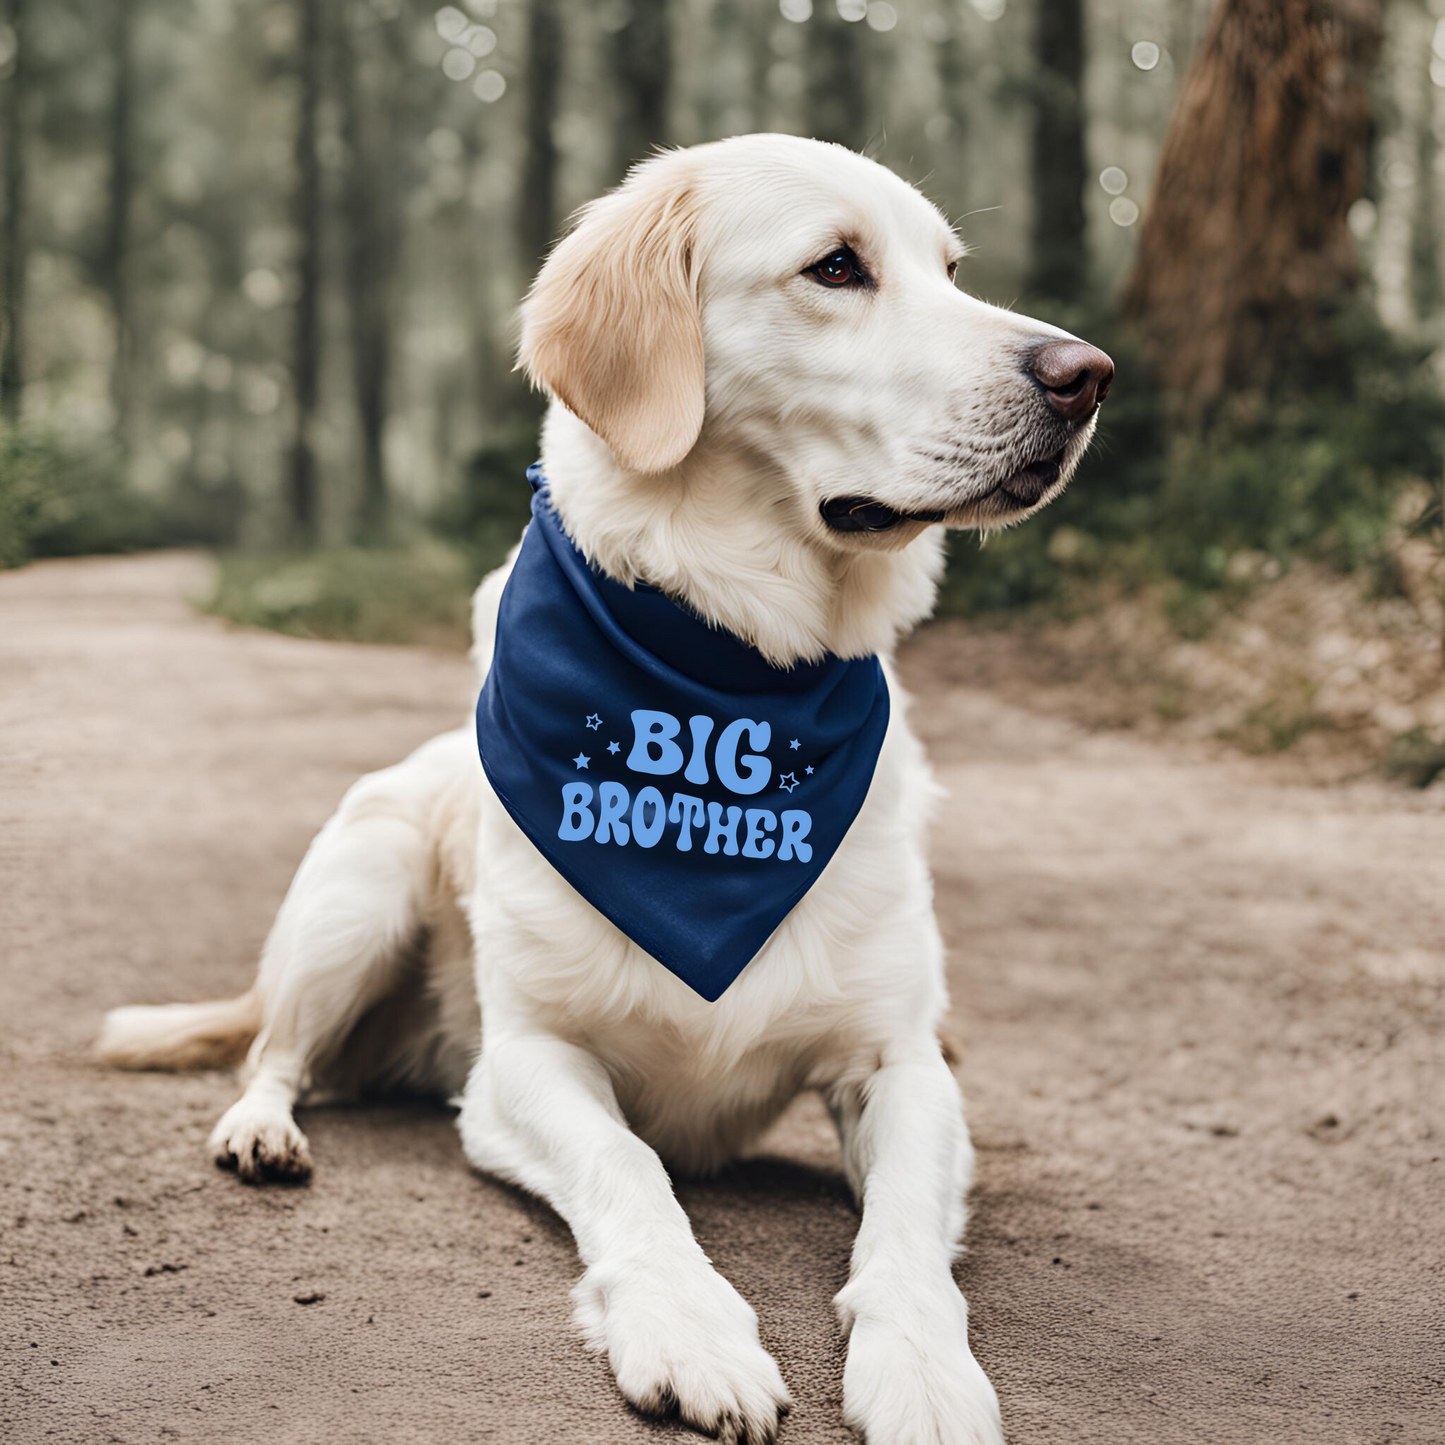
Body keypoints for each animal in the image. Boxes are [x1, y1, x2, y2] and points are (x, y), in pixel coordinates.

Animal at [98, 135, 1115, 1445]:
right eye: (836, 266)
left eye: (948, 269)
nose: (1086, 375)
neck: (733, 681)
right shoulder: (529, 1059)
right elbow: (631, 1171)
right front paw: (691, 1333)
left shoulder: (901, 1062)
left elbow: (901, 1239)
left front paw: (925, 1373)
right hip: (363, 885)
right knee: (274, 1051)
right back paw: (261, 1128)